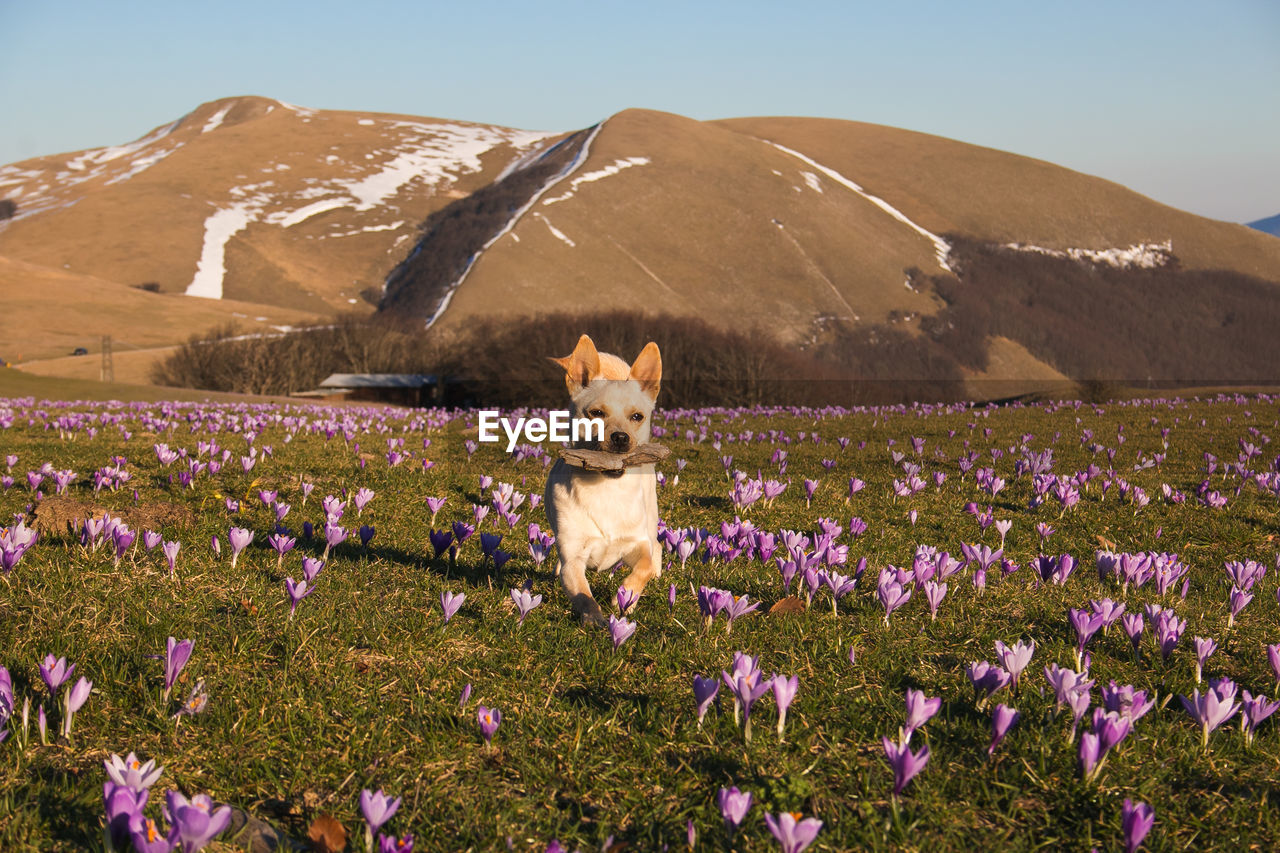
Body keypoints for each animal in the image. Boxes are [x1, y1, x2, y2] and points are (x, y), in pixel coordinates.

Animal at [542, 333, 665, 625]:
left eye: (637, 417)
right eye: (596, 413)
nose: (620, 437)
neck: (607, 488)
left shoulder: (635, 544)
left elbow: (642, 567)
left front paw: (627, 597)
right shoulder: (574, 557)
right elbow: (582, 592)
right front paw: (595, 619)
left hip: (650, 518)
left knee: (656, 548)